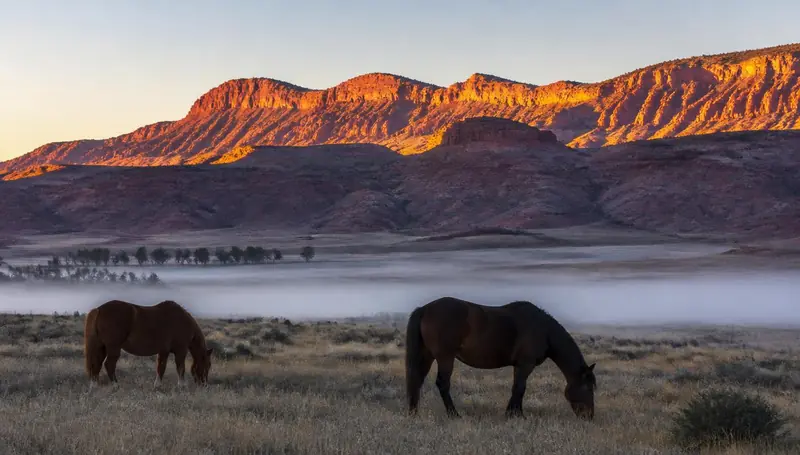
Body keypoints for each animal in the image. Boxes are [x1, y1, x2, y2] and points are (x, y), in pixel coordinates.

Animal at [83, 299, 213, 387]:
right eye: (208, 364)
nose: (204, 385)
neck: (183, 322)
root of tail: (99, 309)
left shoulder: (163, 351)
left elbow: (161, 368)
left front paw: (157, 385)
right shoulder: (181, 351)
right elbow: (180, 368)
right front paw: (182, 386)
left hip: (101, 347)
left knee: (96, 364)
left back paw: (94, 385)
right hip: (113, 348)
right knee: (109, 365)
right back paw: (116, 385)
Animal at [405, 296, 597, 420]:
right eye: (588, 388)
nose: (589, 417)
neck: (544, 330)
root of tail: (425, 309)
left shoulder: (519, 365)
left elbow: (517, 387)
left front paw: (514, 412)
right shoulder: (526, 364)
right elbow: (520, 388)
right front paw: (515, 415)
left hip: (427, 355)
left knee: (417, 379)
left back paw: (414, 412)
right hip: (445, 357)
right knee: (442, 383)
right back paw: (454, 415)